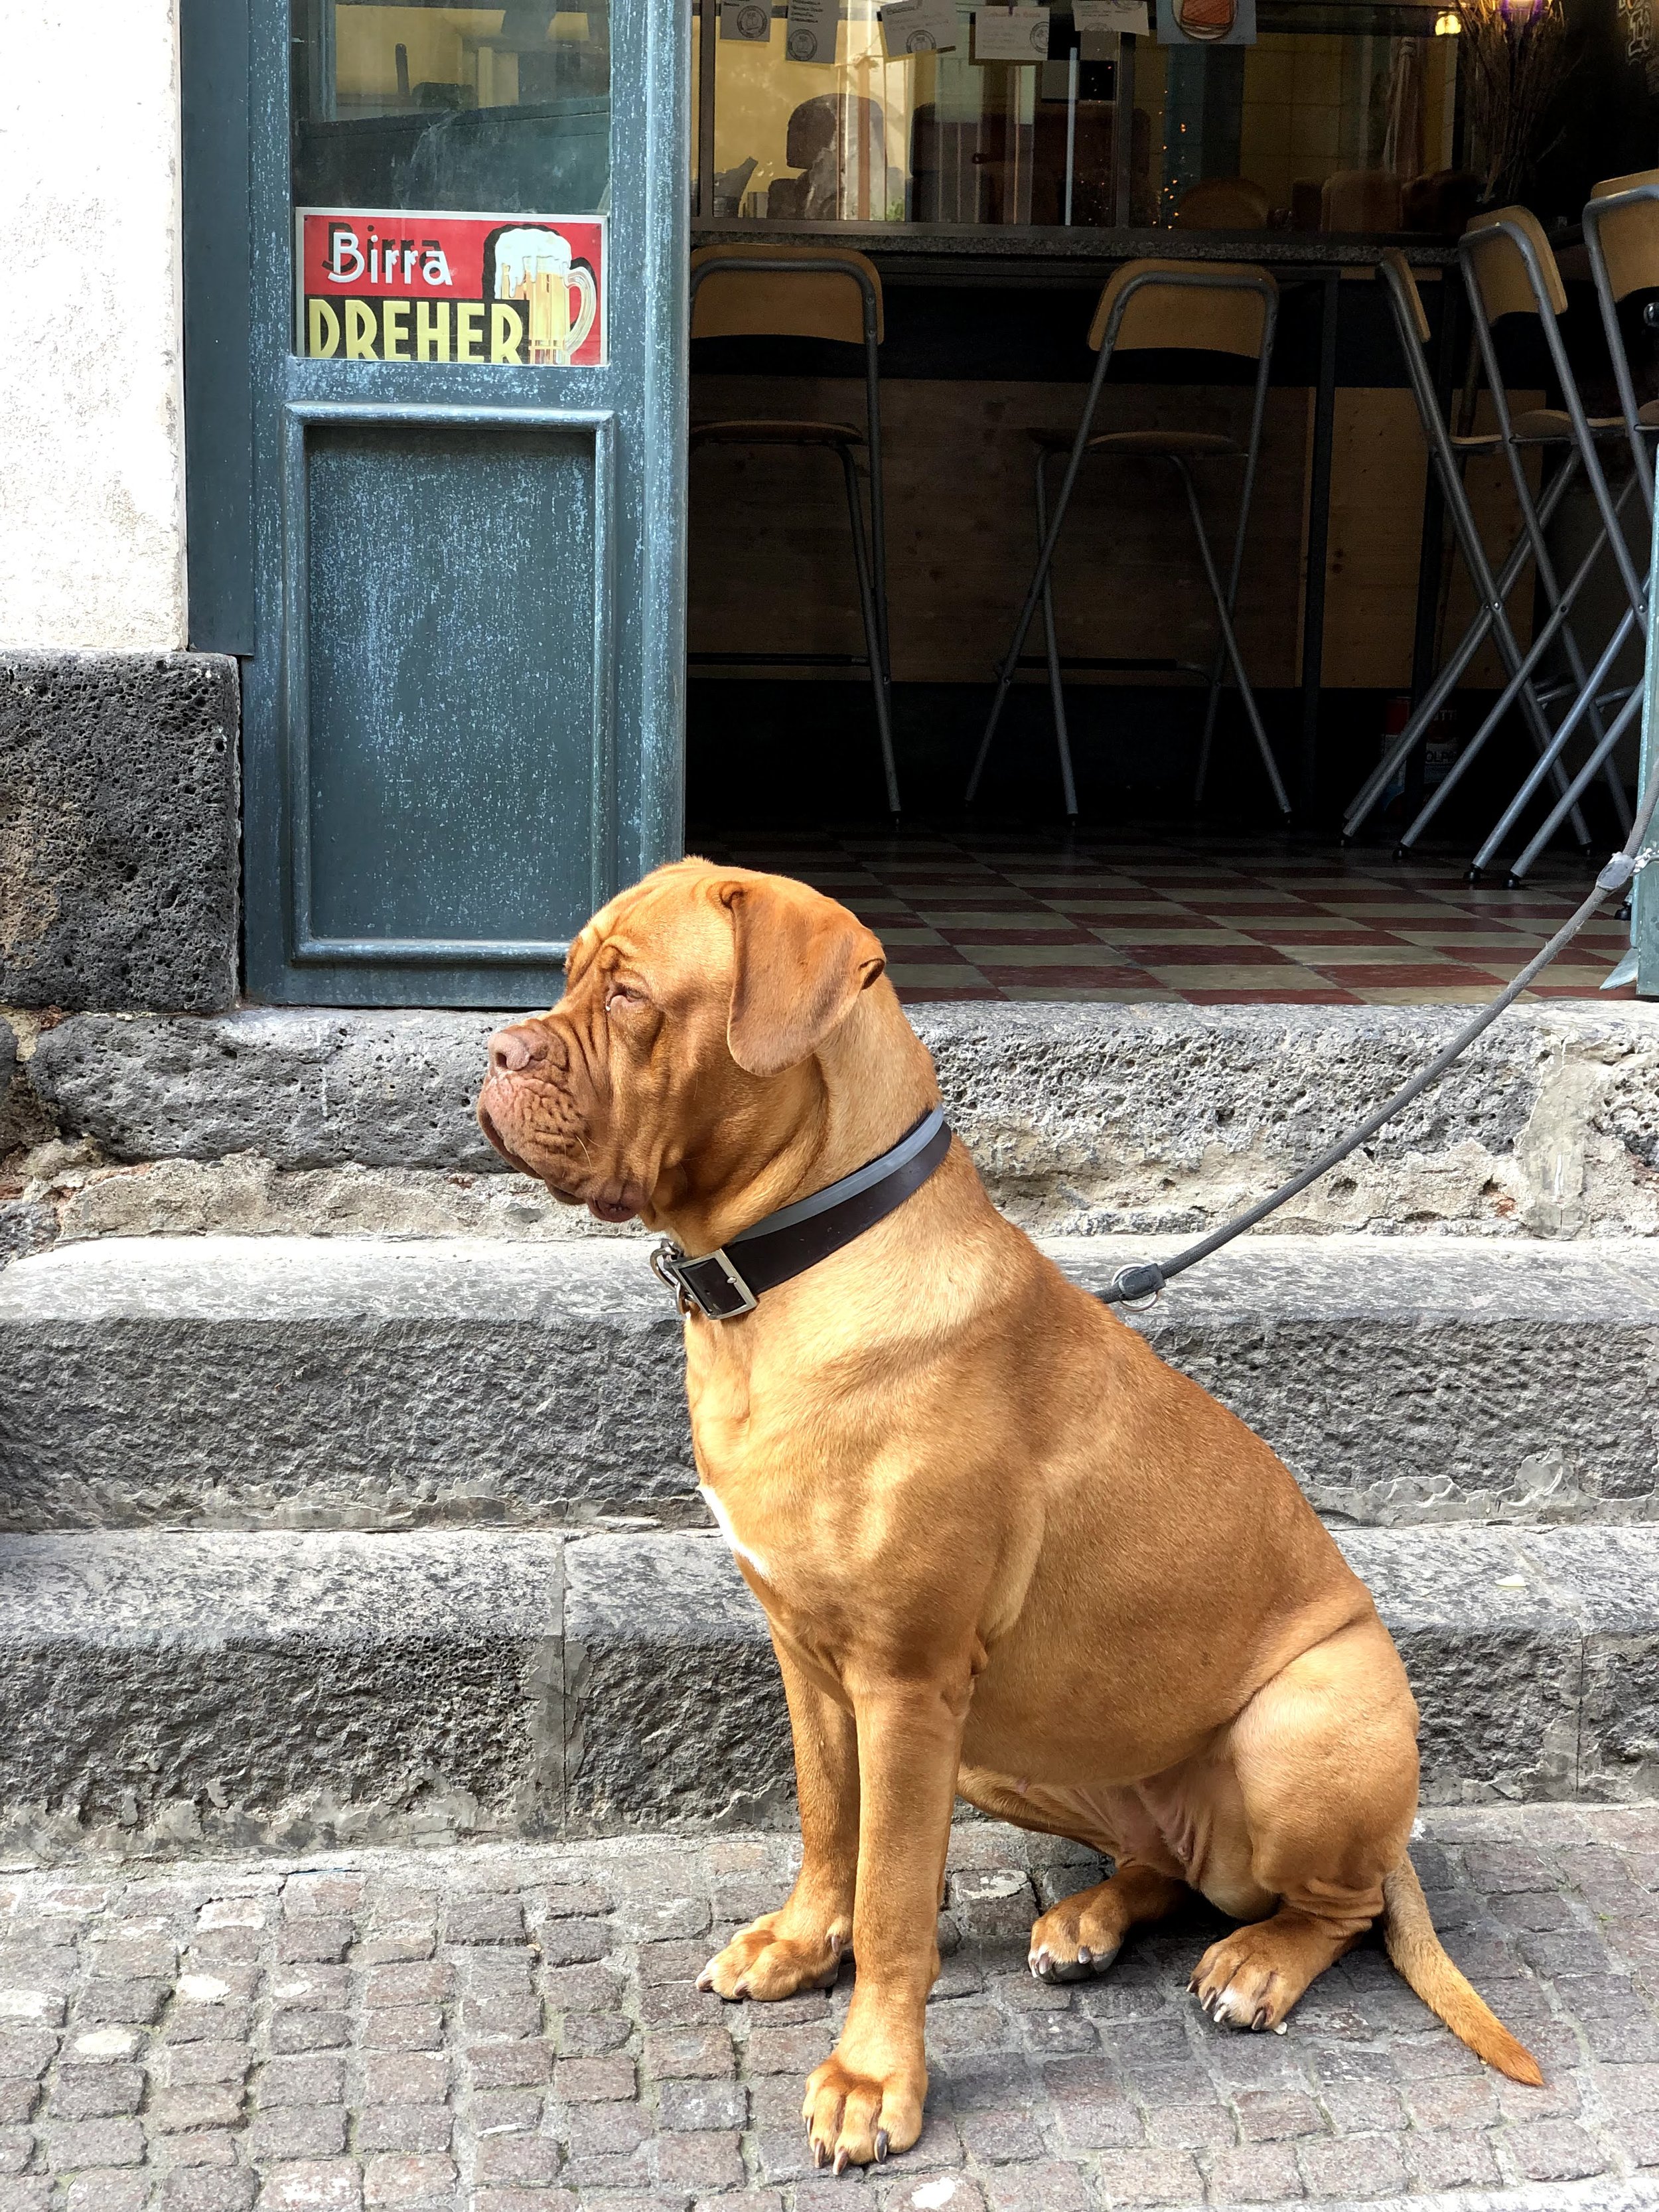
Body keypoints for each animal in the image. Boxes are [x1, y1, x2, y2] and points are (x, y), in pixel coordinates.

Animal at [478, 853, 1548, 2168]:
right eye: (572, 974)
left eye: (631, 995)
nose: (495, 1051)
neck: (785, 1273)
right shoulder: (809, 1658)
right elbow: (830, 1823)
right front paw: (802, 1942)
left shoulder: (905, 1682)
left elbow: (893, 1897)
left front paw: (873, 2075)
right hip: (1005, 1750)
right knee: (1164, 1860)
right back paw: (1092, 1917)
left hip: (1298, 1724)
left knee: (1331, 1906)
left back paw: (1260, 1962)